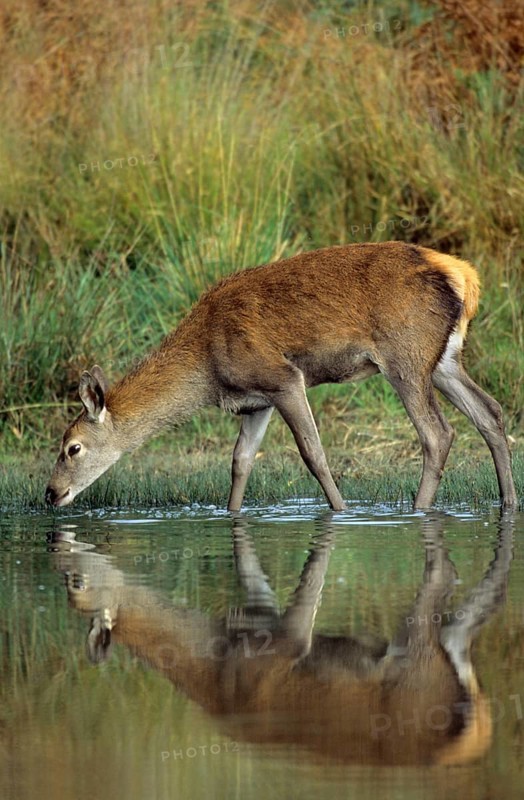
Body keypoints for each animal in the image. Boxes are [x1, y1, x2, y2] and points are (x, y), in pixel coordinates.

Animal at [45, 241, 518, 511]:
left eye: (72, 448)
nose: (50, 493)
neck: (207, 368)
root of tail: (464, 275)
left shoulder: (282, 377)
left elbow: (313, 454)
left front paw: (342, 513)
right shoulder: (257, 401)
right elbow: (240, 461)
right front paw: (232, 515)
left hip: (405, 355)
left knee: (437, 433)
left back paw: (420, 511)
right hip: (444, 360)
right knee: (490, 413)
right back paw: (509, 503)